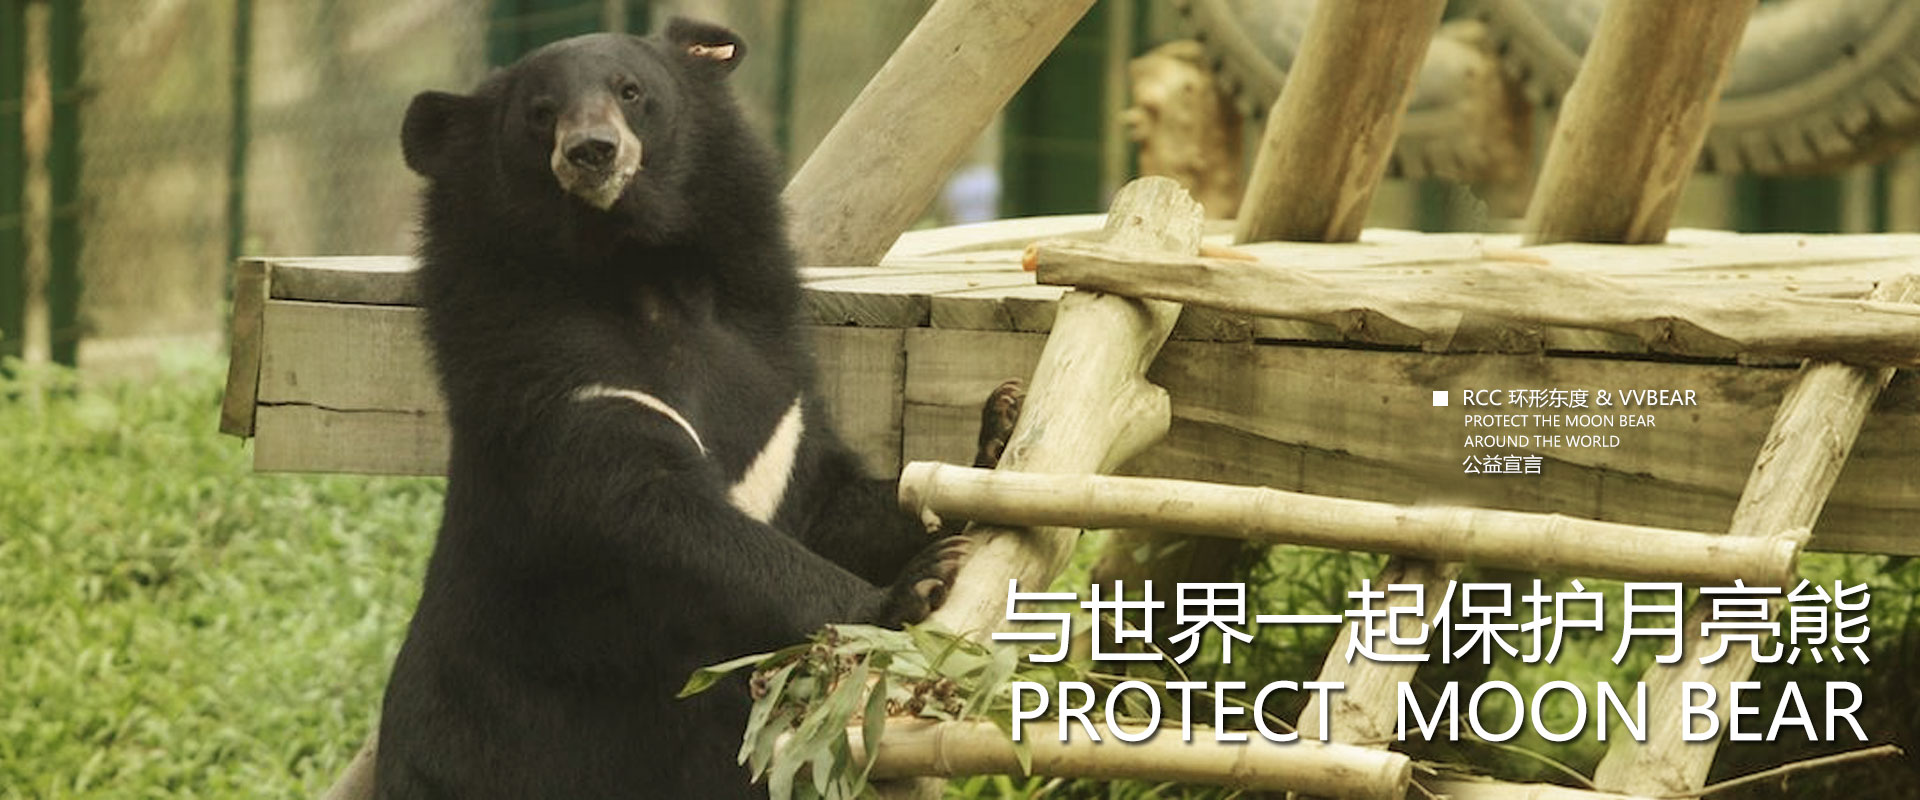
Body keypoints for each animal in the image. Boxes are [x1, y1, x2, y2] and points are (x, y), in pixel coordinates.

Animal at [376, 19, 983, 799]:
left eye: (631, 92)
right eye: (541, 112)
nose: (592, 151)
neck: (641, 273)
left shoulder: (776, 389)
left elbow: (832, 503)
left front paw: (996, 432)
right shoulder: (557, 378)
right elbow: (666, 522)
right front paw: (912, 590)